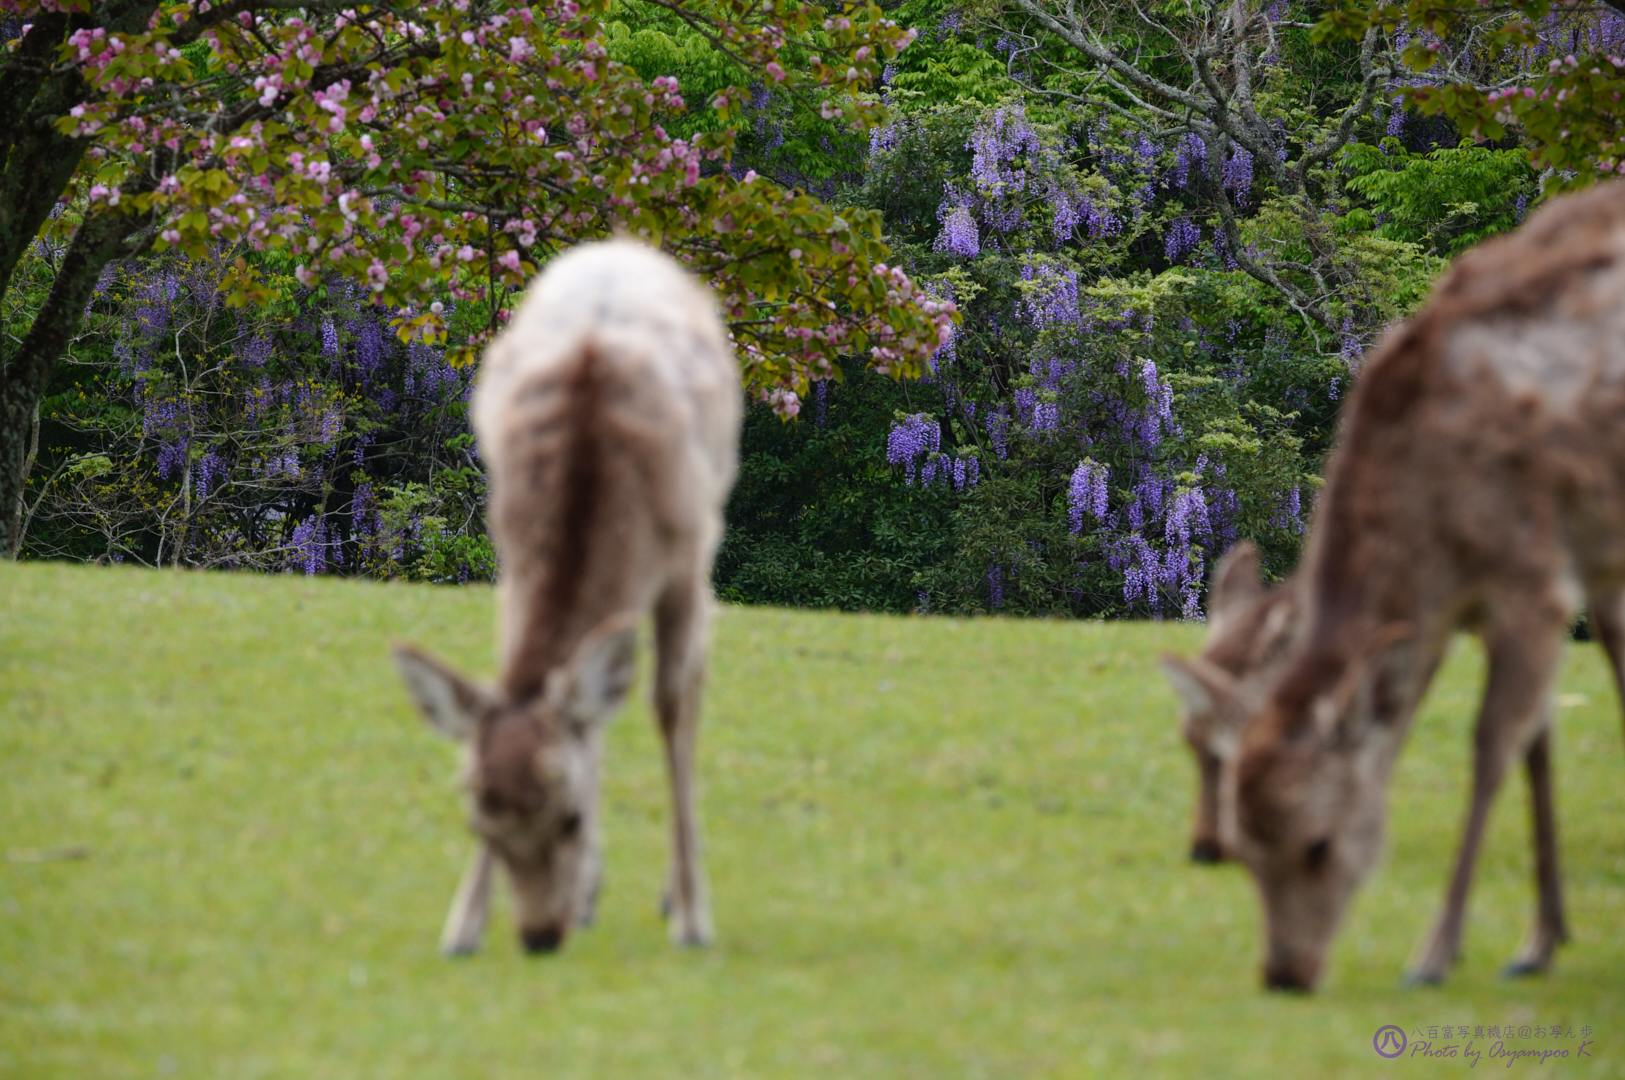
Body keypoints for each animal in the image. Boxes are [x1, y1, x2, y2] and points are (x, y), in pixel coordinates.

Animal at [393, 238, 744, 954]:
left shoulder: (685, 564)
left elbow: (670, 709)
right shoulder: (509, 559)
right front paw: (464, 925)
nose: (539, 935)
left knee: (685, 692)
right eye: (478, 823)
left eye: (572, 818)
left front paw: (693, 918)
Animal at [1163, 178, 1625, 993]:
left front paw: (1441, 951)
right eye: (1192, 746)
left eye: (1220, 752)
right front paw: (1544, 936)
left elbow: (1495, 744)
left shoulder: (1540, 580)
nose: (1204, 847)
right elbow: (1537, 738)